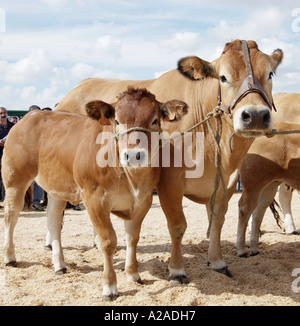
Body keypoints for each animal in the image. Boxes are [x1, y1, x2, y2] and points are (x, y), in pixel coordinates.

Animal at [2, 87, 188, 300]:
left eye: (154, 121)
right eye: (117, 121)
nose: (134, 155)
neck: (131, 178)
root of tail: (32, 115)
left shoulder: (143, 201)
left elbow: (132, 237)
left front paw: (133, 273)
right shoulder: (95, 200)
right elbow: (108, 242)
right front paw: (109, 287)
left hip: (57, 187)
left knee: (53, 221)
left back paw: (59, 264)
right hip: (15, 180)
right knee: (10, 216)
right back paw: (9, 256)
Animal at [55, 39, 282, 278]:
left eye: (270, 74)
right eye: (223, 77)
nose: (255, 115)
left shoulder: (225, 184)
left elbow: (217, 223)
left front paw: (217, 261)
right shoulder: (169, 183)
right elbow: (177, 226)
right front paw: (177, 269)